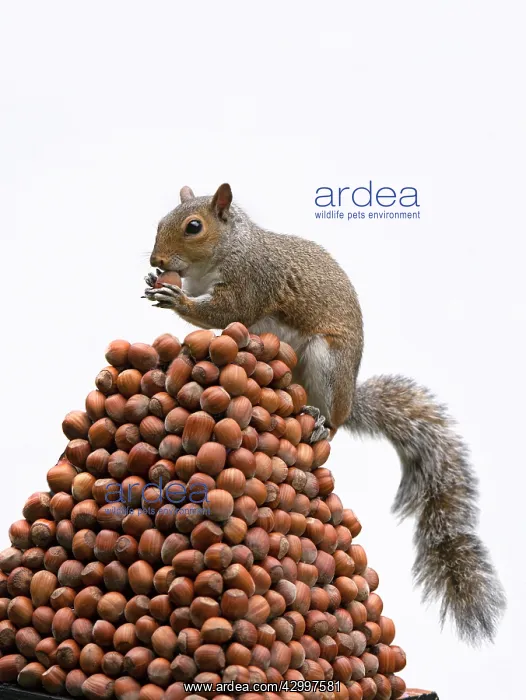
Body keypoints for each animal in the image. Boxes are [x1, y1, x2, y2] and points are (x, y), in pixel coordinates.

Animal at [144, 182, 506, 644]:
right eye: (160, 222)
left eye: (194, 226)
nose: (156, 262)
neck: (228, 249)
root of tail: (349, 400)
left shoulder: (253, 280)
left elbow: (226, 312)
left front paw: (175, 298)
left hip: (327, 363)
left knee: (333, 426)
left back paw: (319, 423)